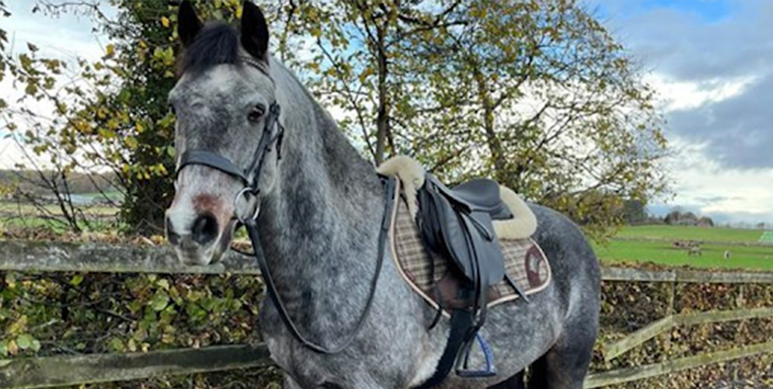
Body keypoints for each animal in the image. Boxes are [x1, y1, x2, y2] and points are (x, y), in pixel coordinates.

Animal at [161, 1, 596, 386]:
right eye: (175, 106)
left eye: (256, 111)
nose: (190, 228)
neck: (333, 259)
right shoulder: (296, 380)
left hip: (567, 366)